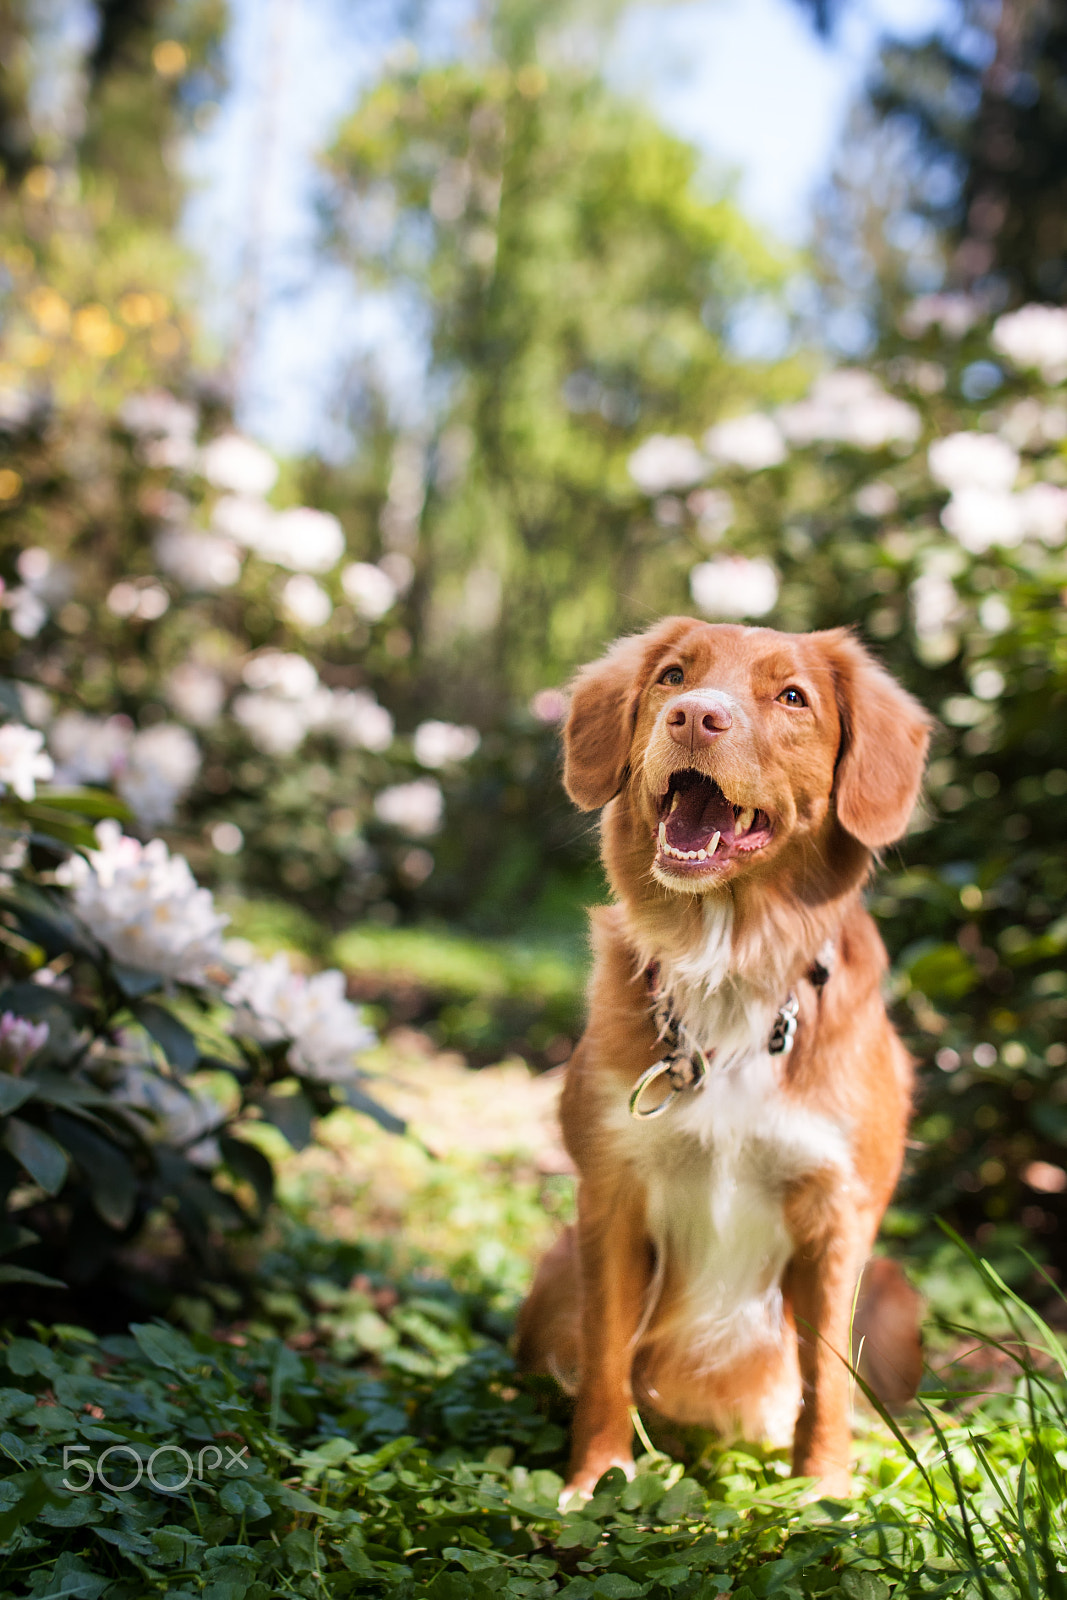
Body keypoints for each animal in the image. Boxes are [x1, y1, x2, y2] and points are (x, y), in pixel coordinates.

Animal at [511, 614, 927, 1497]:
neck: (730, 963)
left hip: (892, 1289)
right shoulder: (610, 1197)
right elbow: (605, 1358)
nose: (694, 716)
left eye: (793, 697)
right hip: (556, 1267)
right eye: (672, 676)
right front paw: (594, 1480)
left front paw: (824, 1493)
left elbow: (825, 1378)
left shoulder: (837, 1214)